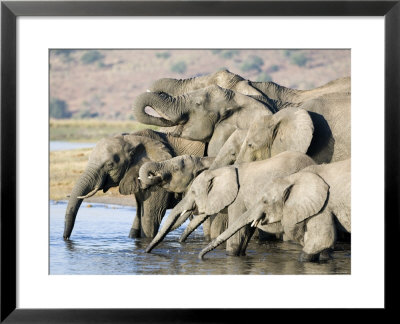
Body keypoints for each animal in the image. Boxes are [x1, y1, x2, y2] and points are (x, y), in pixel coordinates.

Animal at [63, 129, 206, 240]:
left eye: (110, 165)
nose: (66, 239)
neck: (133, 138)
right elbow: (138, 213)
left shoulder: (158, 179)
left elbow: (150, 218)